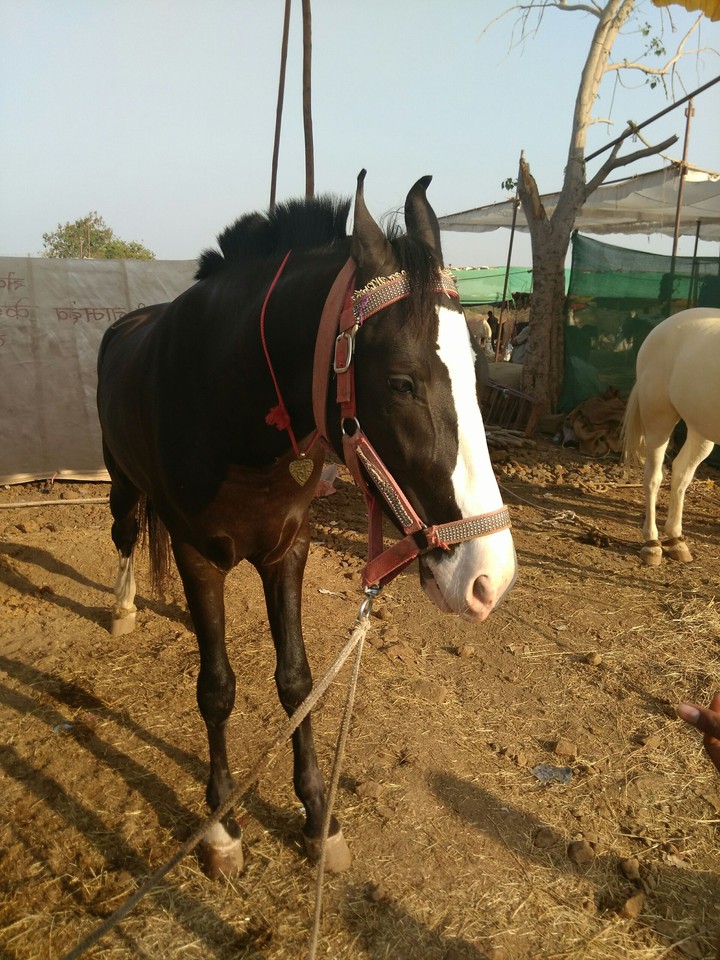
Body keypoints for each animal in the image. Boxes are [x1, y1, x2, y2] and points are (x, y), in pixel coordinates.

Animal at [96, 171, 517, 879]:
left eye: (475, 369)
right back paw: (124, 607)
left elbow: (296, 682)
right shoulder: (196, 554)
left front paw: (319, 817)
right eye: (401, 383)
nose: (489, 576)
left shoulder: (288, 550)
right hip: (122, 481)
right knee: (125, 536)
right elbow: (216, 689)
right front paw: (221, 828)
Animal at [622, 307, 720, 566]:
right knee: (653, 477)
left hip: (700, 430)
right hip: (659, 420)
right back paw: (652, 544)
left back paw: (676, 540)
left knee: (681, 473)